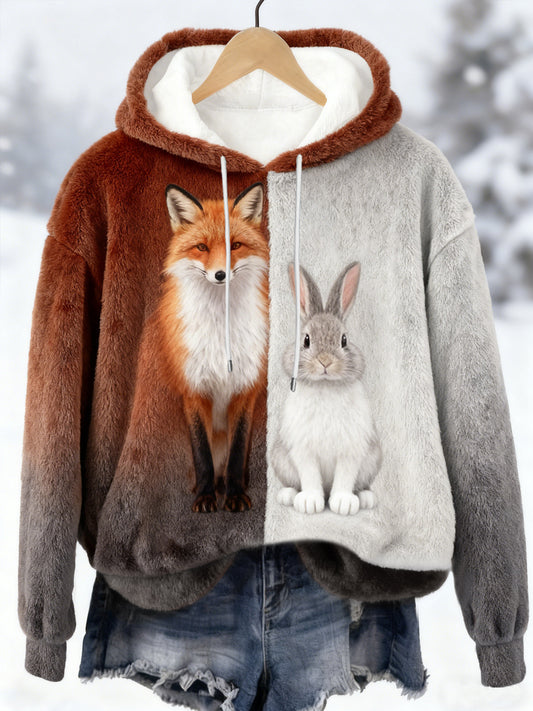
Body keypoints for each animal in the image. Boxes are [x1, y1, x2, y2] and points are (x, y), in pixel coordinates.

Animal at [156, 180, 269, 513]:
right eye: (202, 248)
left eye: (235, 245)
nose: (220, 274)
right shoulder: (194, 389)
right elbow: (202, 454)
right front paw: (205, 497)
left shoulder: (245, 388)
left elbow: (236, 454)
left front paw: (235, 496)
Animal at [270, 260, 383, 516]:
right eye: (306, 340)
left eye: (344, 340)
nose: (325, 361)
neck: (325, 387)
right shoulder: (303, 450)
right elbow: (310, 476)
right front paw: (310, 503)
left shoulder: (351, 450)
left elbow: (345, 477)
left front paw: (343, 504)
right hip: (281, 459)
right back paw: (288, 496)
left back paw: (366, 498)